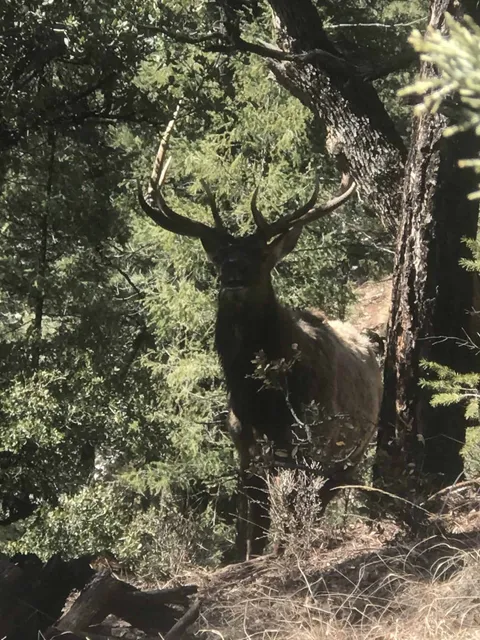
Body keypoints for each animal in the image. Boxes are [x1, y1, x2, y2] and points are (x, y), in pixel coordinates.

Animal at [138, 115, 383, 559]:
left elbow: (294, 502)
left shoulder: (312, 434)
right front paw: (245, 554)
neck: (260, 400)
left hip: (353, 442)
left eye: (261, 256)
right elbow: (250, 511)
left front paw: (286, 548)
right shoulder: (242, 440)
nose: (233, 273)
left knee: (330, 490)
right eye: (219, 257)